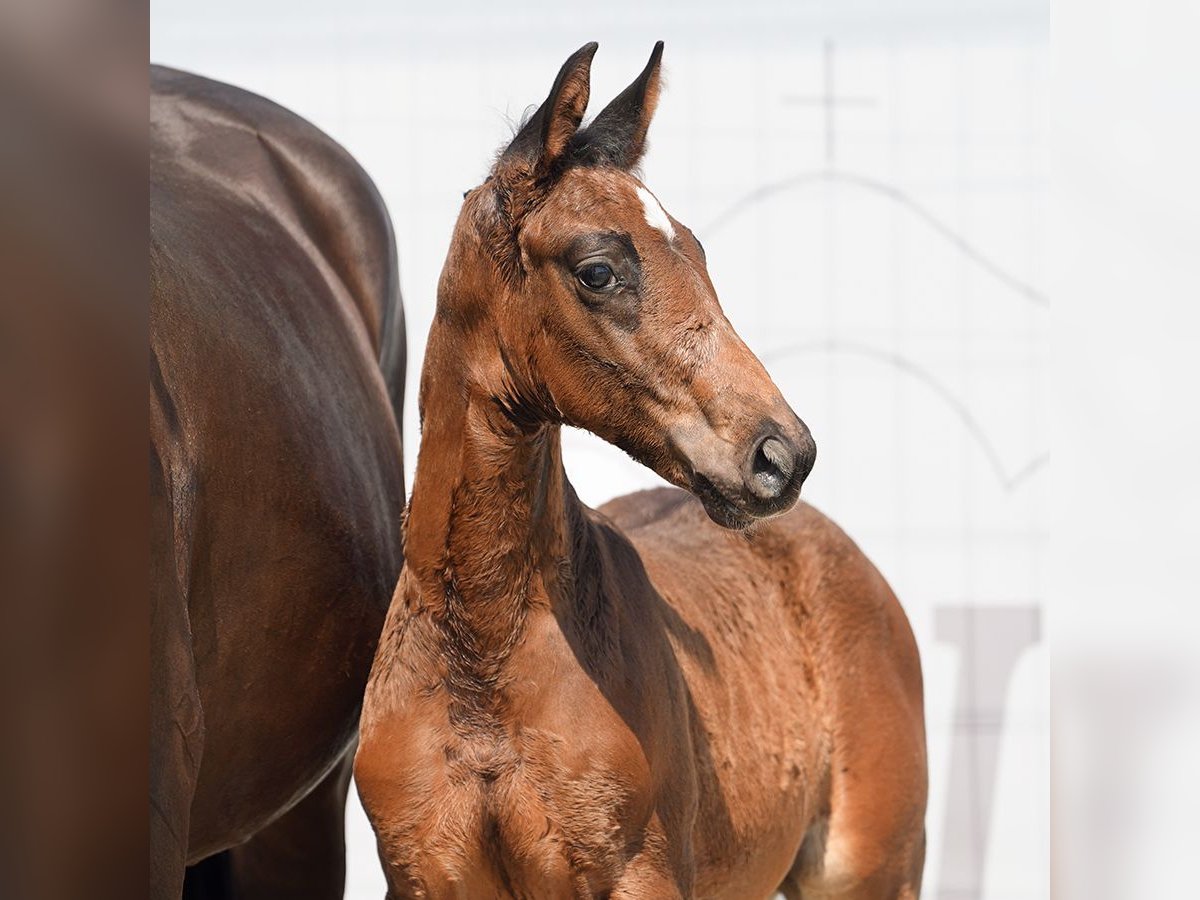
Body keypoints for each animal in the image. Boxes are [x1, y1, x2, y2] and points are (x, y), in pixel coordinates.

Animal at [355, 44, 926, 900]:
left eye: (696, 250)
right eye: (598, 270)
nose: (783, 453)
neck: (483, 655)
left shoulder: (639, 873)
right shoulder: (423, 877)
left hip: (869, 872)